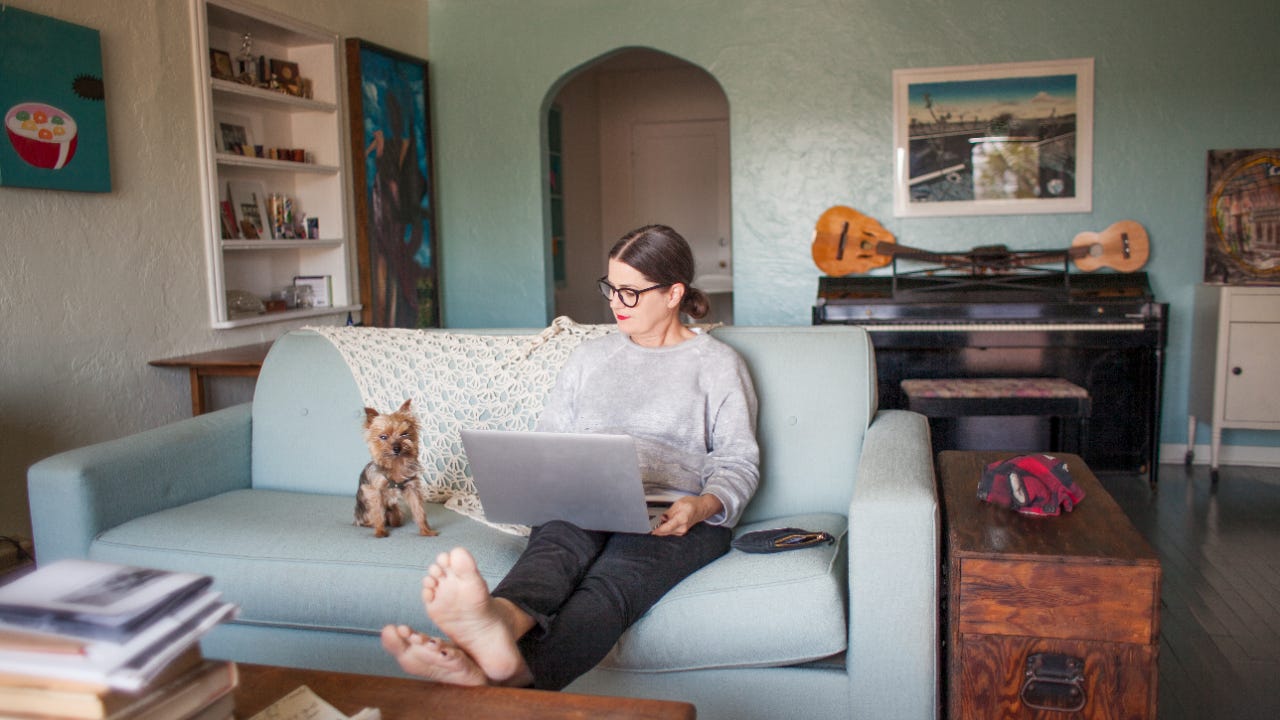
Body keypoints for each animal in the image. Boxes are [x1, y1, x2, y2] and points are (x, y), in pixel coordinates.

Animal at [355, 399, 440, 535]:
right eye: (383, 437)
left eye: (404, 434)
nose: (397, 448)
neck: (396, 463)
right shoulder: (374, 491)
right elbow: (377, 511)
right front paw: (380, 532)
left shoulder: (412, 487)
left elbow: (419, 510)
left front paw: (426, 531)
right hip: (365, 514)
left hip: (395, 512)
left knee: (395, 519)